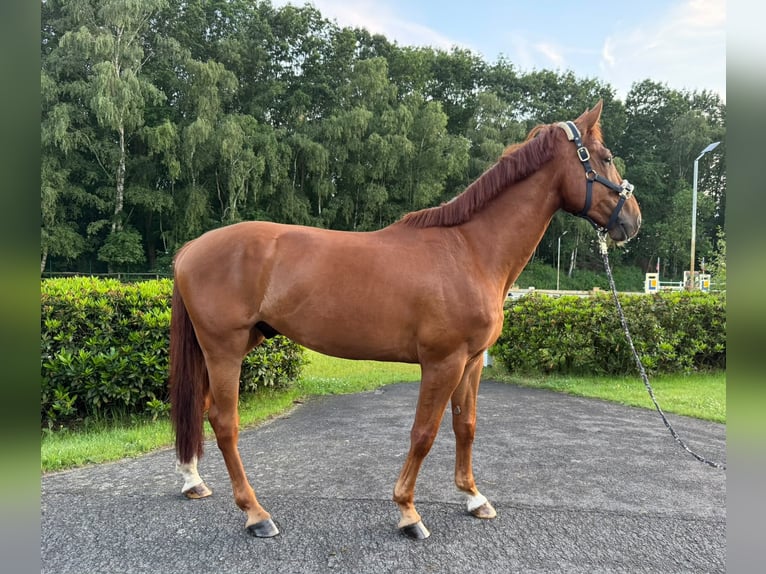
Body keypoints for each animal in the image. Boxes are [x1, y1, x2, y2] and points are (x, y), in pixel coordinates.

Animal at [169, 101, 641, 540]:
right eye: (605, 156)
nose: (632, 220)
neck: (470, 250)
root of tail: (191, 248)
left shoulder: (471, 362)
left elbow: (465, 426)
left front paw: (474, 497)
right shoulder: (442, 362)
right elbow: (424, 433)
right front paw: (408, 512)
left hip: (238, 343)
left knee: (203, 407)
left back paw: (194, 482)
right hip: (225, 348)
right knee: (225, 422)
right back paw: (256, 514)